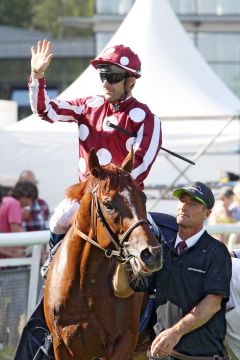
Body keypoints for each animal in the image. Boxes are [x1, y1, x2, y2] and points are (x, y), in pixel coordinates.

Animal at [43, 149, 162, 360]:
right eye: (109, 204)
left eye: (143, 198)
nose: (151, 254)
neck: (84, 283)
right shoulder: (62, 345)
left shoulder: (123, 342)